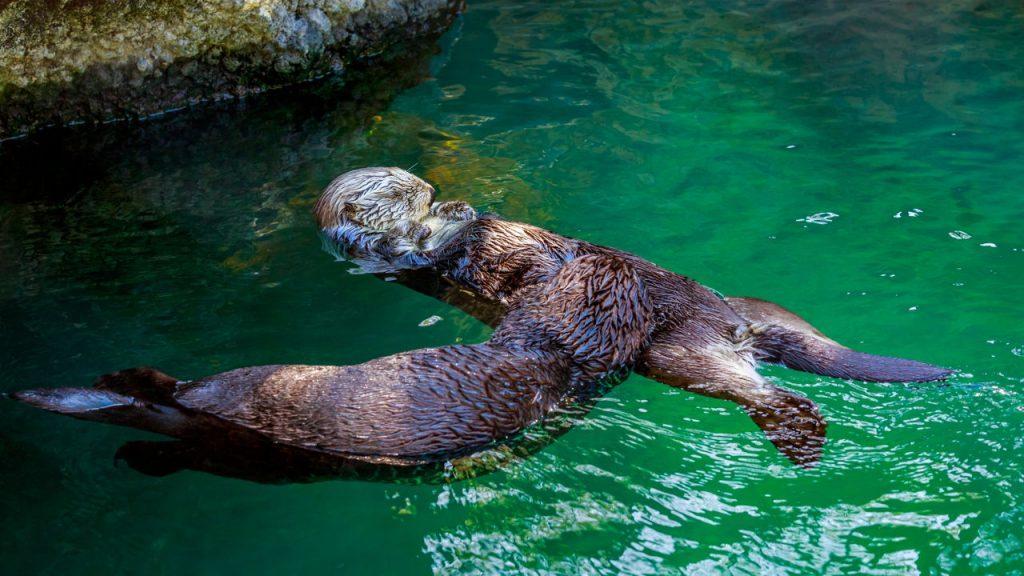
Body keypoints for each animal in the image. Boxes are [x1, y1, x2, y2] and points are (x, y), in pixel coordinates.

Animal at [314, 167, 953, 466]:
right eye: (399, 188)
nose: (428, 184)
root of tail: (734, 326)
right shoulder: (410, 257)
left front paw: (460, 206)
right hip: (679, 354)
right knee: (764, 392)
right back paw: (800, 434)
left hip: (755, 308)